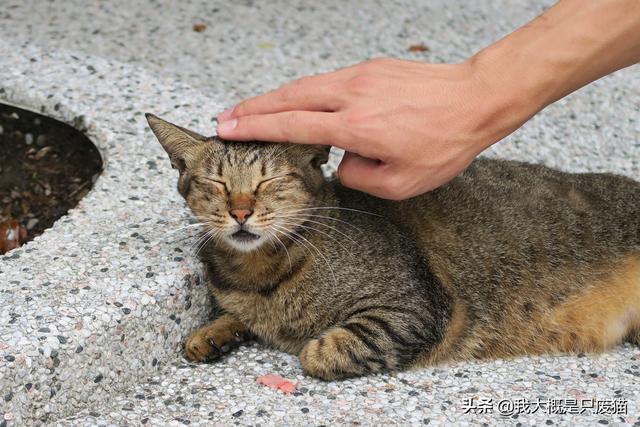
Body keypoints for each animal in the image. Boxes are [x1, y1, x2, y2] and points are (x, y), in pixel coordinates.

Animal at [148, 113, 640, 382]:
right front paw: (214, 333)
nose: (241, 212)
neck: (256, 273)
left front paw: (303, 343)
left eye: (270, 181)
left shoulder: (410, 310)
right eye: (216, 184)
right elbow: (234, 316)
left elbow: (321, 351)